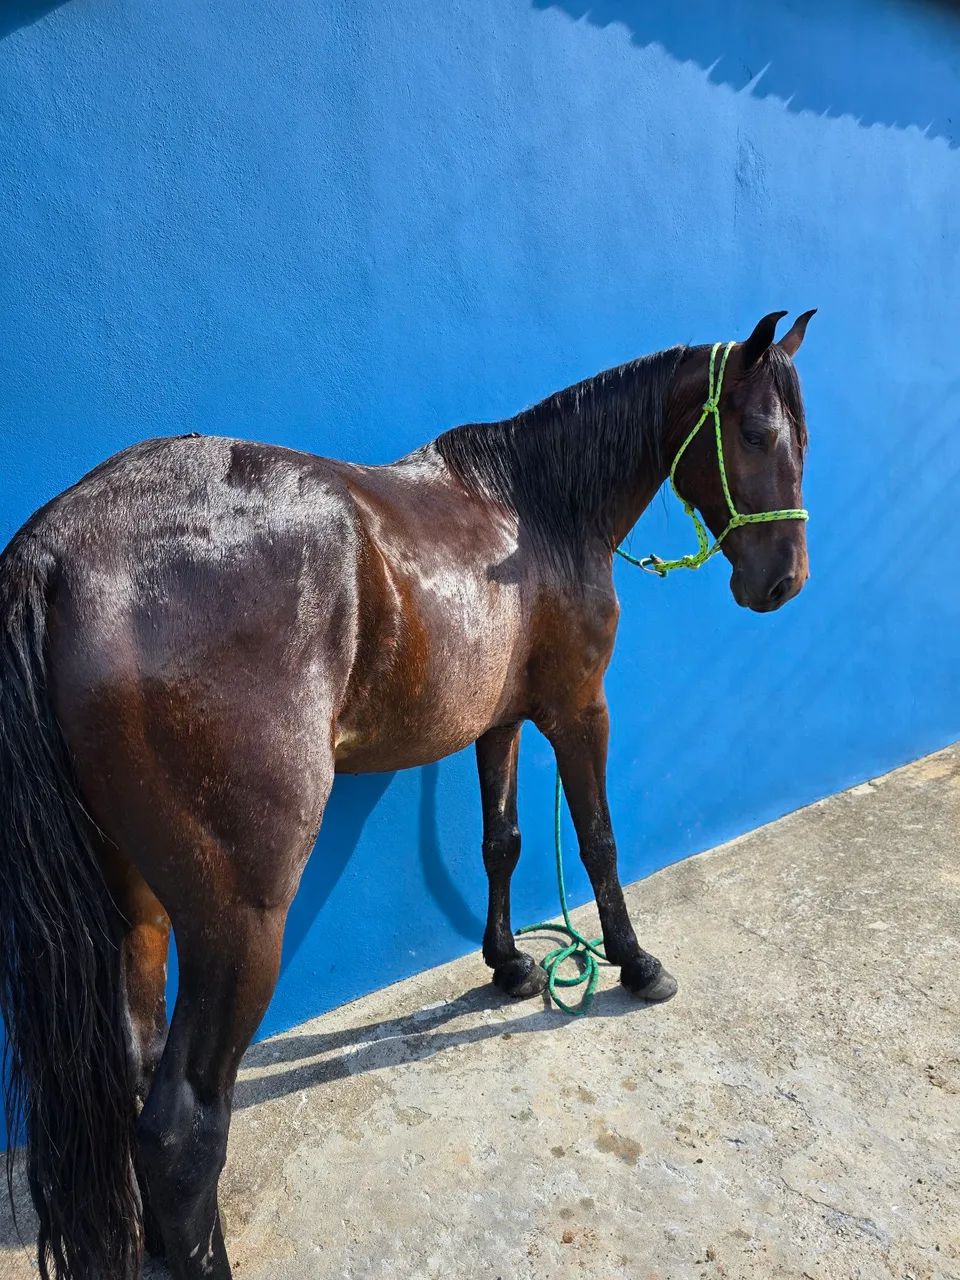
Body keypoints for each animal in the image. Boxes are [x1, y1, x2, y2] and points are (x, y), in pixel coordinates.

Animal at [0, 308, 813, 1279]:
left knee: (138, 1071)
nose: (783, 582)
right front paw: (635, 961)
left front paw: (509, 965)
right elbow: (596, 839)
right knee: (182, 1128)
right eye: (757, 433)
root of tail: (56, 551)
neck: (533, 512)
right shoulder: (579, 709)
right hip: (238, 920)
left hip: (138, 905)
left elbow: (502, 841)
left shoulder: (500, 721)